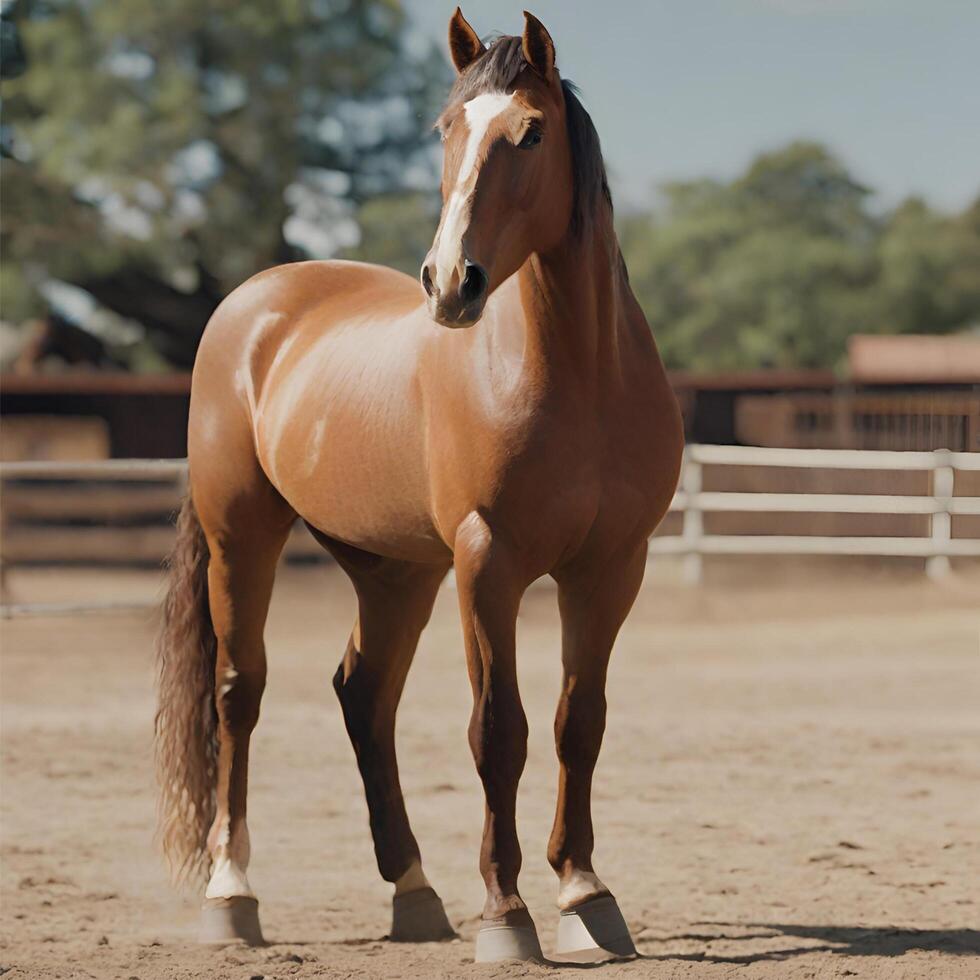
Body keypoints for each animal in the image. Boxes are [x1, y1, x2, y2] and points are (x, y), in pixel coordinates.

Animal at [157, 7, 684, 964]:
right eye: (445, 129)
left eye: (531, 131)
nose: (450, 283)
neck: (578, 375)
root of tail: (253, 303)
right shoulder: (489, 563)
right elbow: (499, 731)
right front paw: (508, 915)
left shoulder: (610, 568)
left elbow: (577, 723)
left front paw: (585, 896)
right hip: (240, 537)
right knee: (237, 695)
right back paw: (232, 897)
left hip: (395, 572)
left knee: (365, 697)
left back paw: (415, 891)